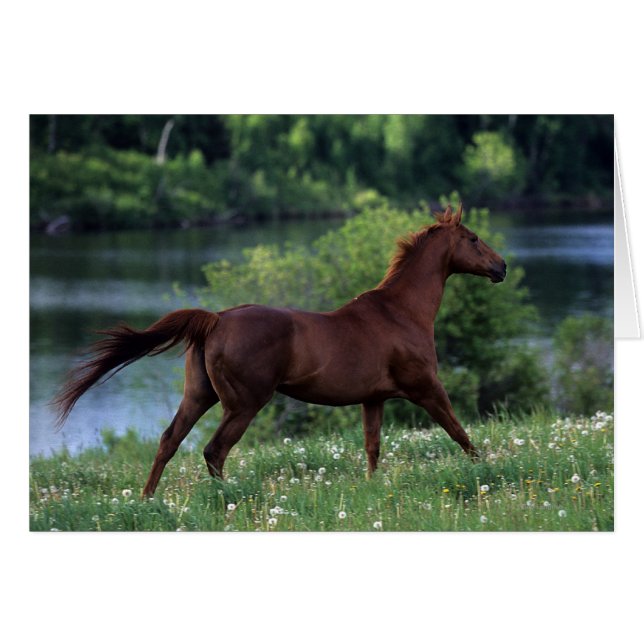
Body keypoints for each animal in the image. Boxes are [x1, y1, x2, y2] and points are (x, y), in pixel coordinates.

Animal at [54, 203, 506, 498]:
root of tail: (216, 319)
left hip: (199, 395)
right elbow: (459, 432)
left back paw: (149, 499)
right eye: (473, 238)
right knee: (214, 450)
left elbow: (373, 448)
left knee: (169, 441)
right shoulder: (426, 387)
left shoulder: (373, 400)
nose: (501, 267)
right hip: (244, 404)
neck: (401, 313)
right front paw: (487, 472)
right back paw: (227, 498)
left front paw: (372, 488)